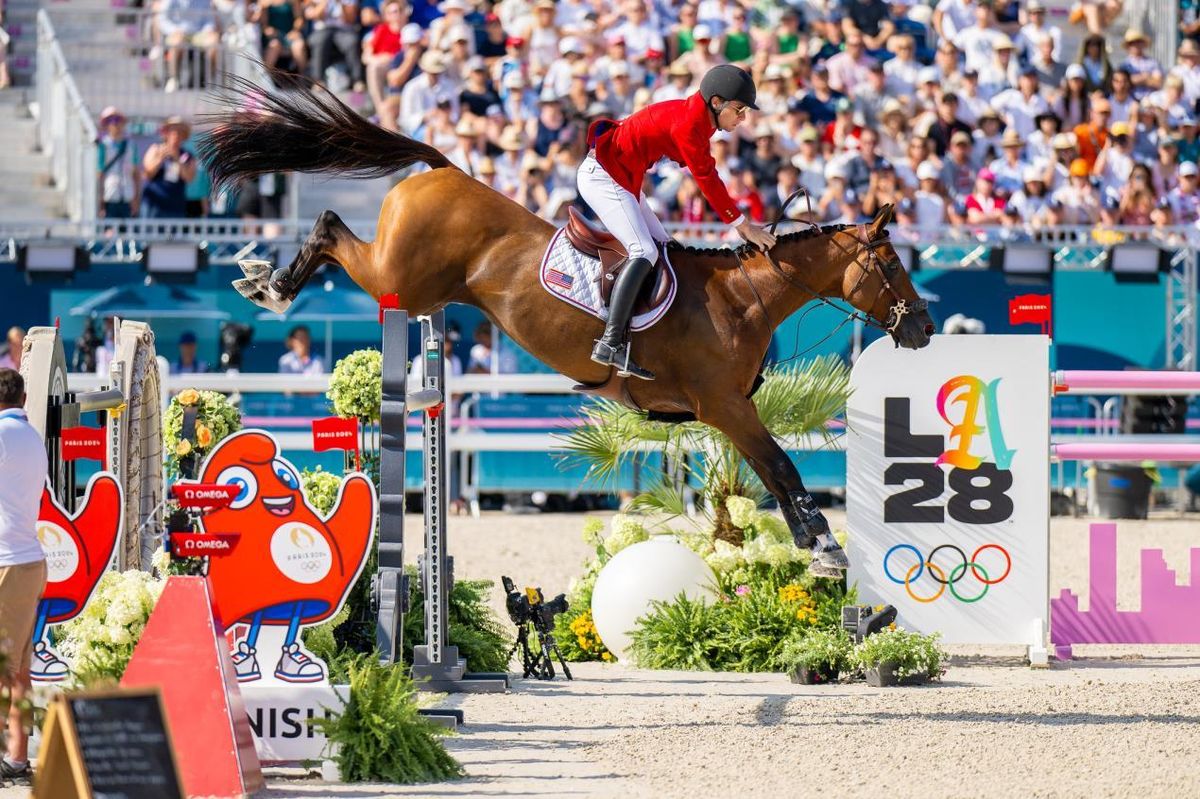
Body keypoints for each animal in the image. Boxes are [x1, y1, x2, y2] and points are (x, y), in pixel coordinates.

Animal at [201, 71, 935, 575]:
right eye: (892, 263)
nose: (924, 329)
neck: (743, 297)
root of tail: (443, 170)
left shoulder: (729, 411)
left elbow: (773, 472)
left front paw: (814, 546)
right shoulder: (723, 405)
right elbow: (781, 465)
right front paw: (828, 549)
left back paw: (264, 280)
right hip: (395, 279)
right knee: (329, 226)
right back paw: (269, 285)